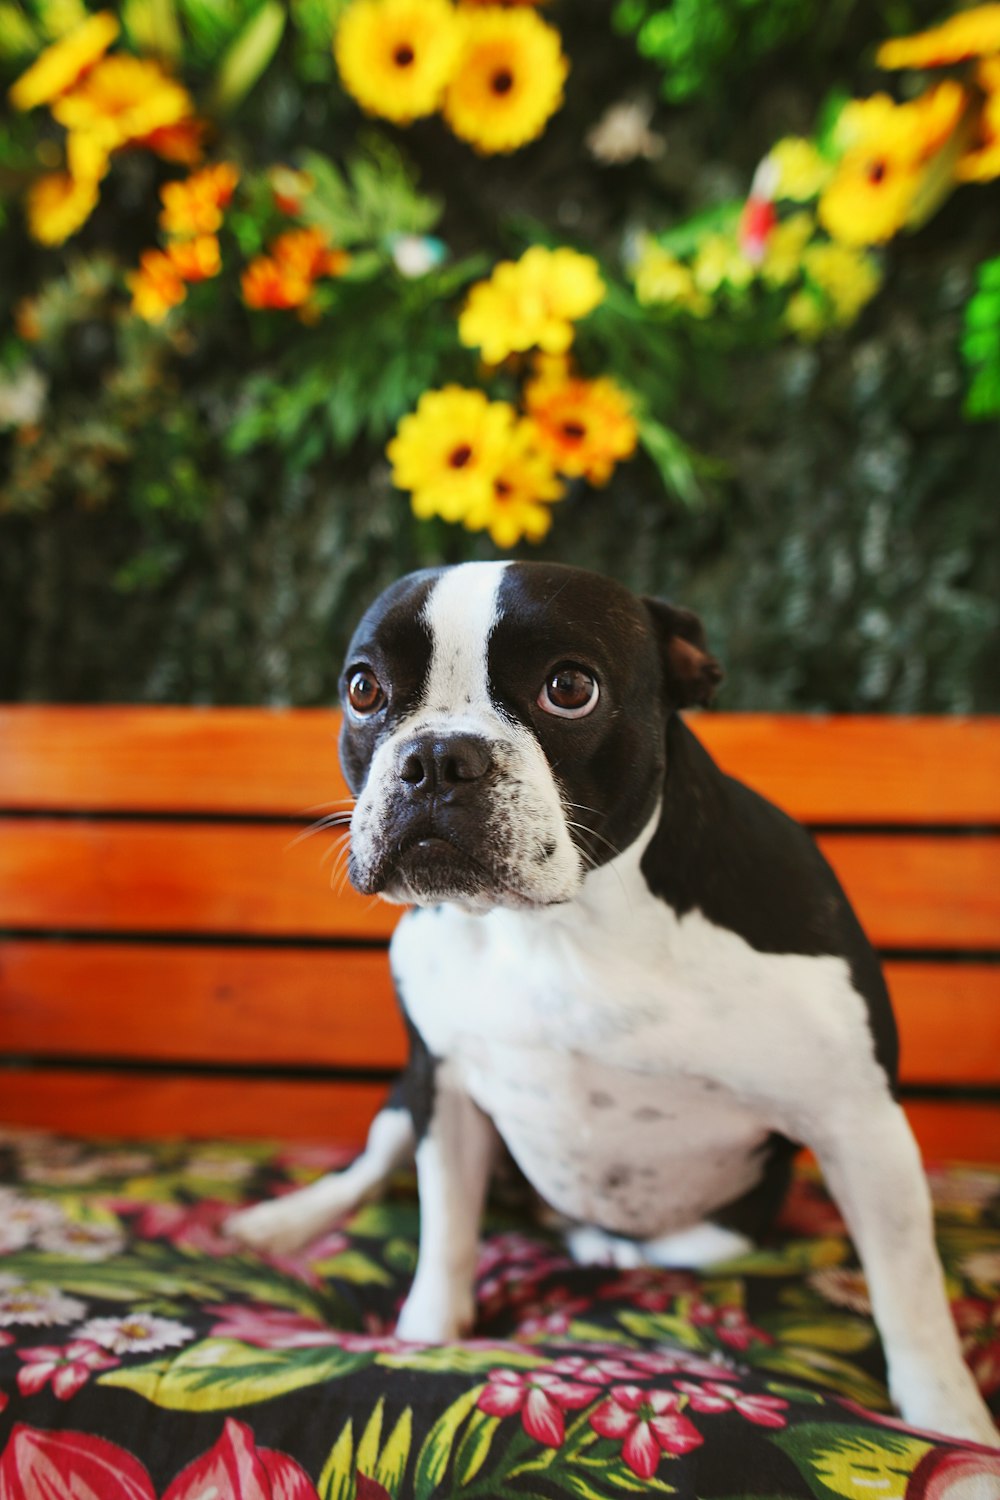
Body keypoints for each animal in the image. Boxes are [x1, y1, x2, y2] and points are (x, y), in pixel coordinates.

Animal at [232, 561, 995, 1440]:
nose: (436, 756)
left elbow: (909, 1288)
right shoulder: (445, 1087)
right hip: (409, 1094)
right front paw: (426, 1335)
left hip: (730, 1223)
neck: (569, 925)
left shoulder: (862, 1126)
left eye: (571, 688)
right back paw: (281, 1220)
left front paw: (952, 1419)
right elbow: (445, 1228)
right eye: (364, 690)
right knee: (373, 1162)